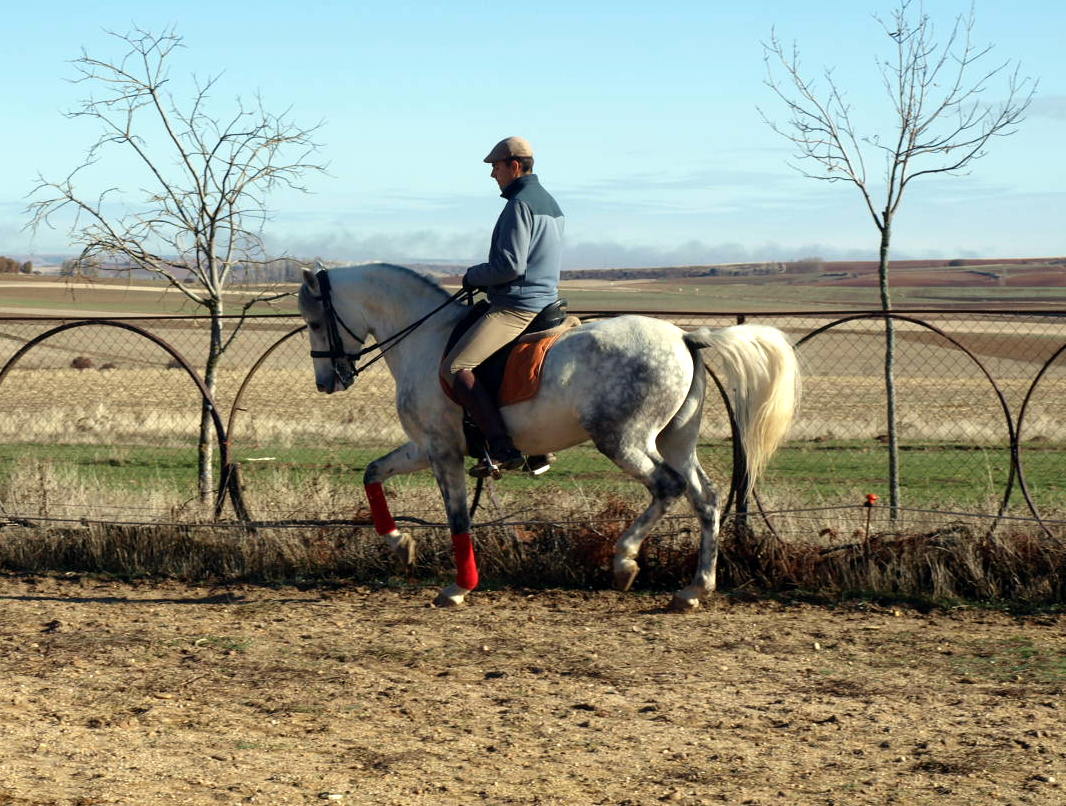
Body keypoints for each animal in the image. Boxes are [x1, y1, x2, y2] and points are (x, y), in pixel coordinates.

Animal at [298, 263, 799, 611]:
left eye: (316, 322)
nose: (327, 382)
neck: (426, 338)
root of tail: (683, 337)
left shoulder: (443, 451)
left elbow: (458, 518)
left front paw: (459, 587)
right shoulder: (424, 447)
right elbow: (372, 474)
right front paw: (400, 544)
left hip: (624, 440)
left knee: (667, 488)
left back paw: (625, 562)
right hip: (675, 441)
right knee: (706, 499)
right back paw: (693, 590)